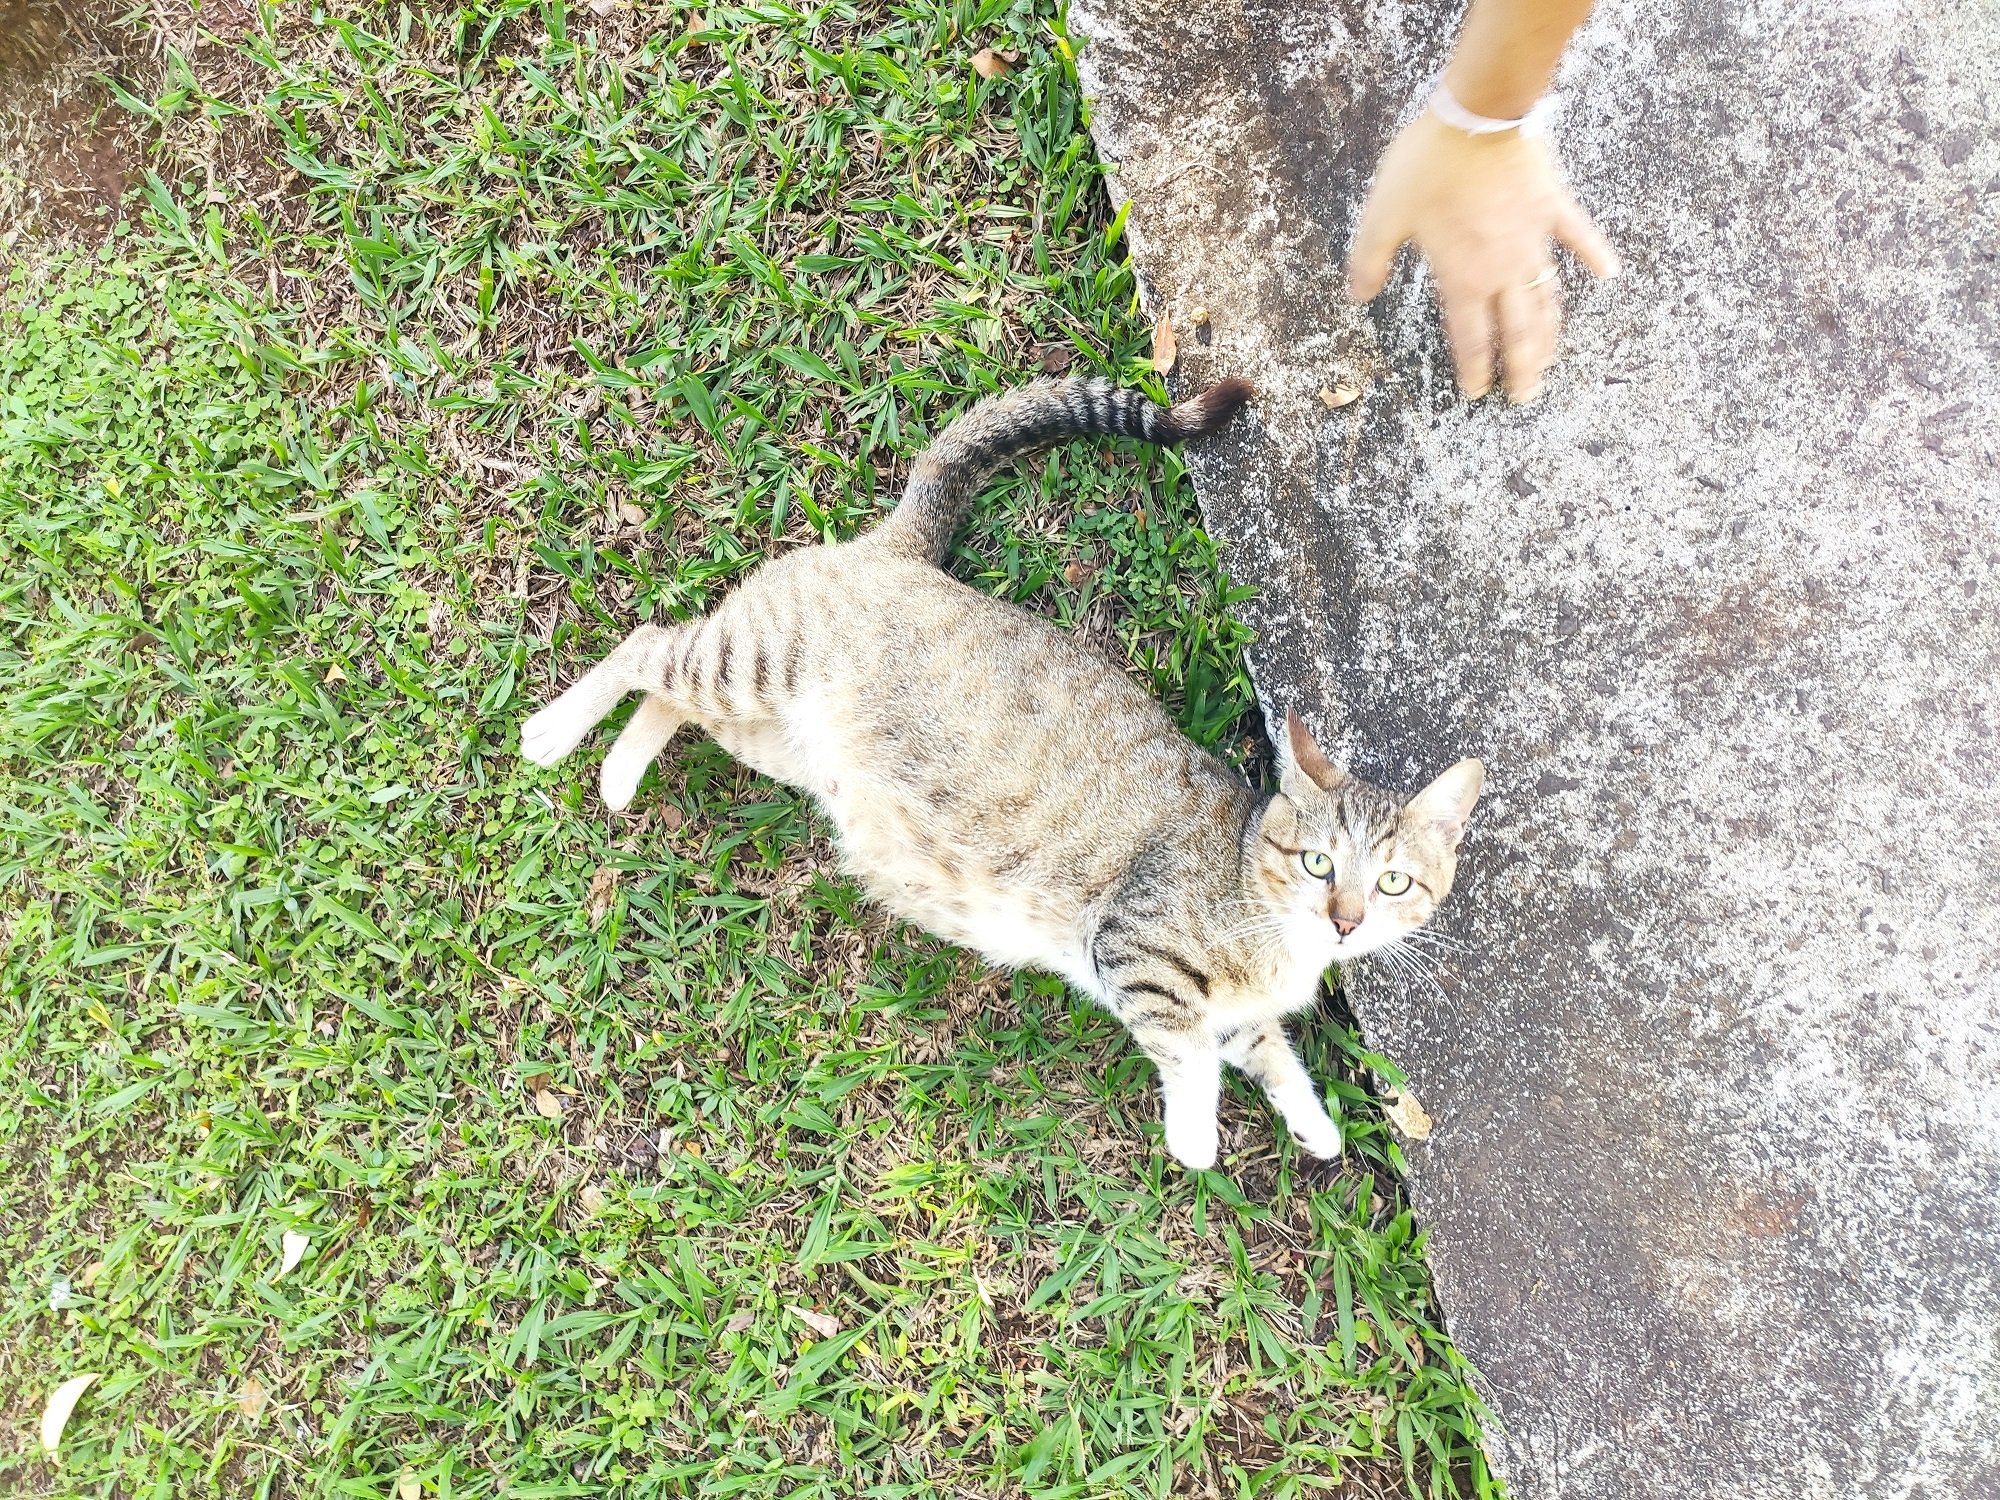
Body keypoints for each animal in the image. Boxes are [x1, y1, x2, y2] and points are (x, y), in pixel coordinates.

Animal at [520, 378, 1488, 1176]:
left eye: (1394, 881)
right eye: (1320, 863)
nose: (1345, 920)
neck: (1258, 892)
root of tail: (900, 549)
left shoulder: (1242, 1013)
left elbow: (1273, 1056)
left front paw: (1313, 1123)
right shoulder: (1135, 951)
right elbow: (1188, 1054)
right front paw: (1195, 1136)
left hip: (768, 732)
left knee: (665, 697)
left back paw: (620, 770)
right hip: (750, 664)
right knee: (648, 643)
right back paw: (554, 732)